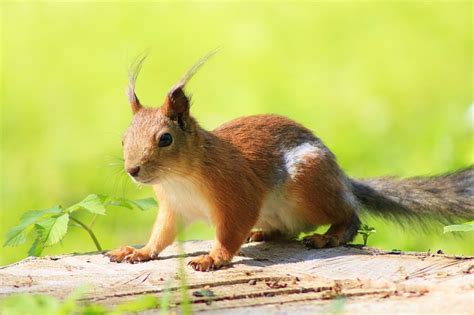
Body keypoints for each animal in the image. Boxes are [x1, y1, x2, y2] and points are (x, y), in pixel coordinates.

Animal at [106, 51, 474, 272]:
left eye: (165, 139)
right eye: (123, 138)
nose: (133, 170)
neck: (180, 178)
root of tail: (342, 179)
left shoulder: (237, 192)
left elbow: (229, 231)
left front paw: (213, 257)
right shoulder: (173, 208)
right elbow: (161, 235)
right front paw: (138, 252)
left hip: (308, 183)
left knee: (350, 215)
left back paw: (329, 236)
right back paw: (263, 233)